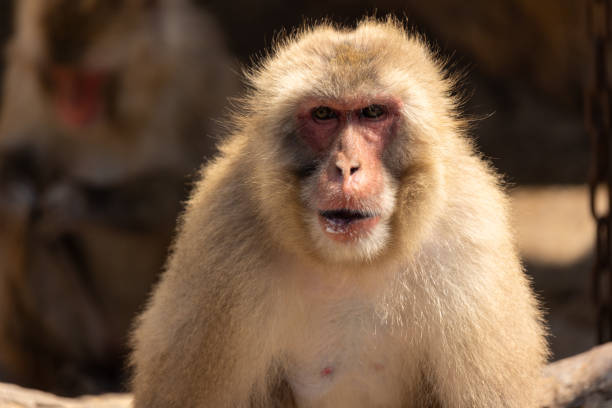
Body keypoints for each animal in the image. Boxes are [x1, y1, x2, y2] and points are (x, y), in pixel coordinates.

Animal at [0, 0, 234, 396]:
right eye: (59, 78)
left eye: (86, 82)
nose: (70, 107)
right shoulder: (26, 83)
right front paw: (16, 192)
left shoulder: (196, 71)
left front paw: (82, 202)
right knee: (22, 230)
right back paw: (79, 370)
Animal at [131, 19, 548, 408]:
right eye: (323, 114)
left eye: (373, 112)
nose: (347, 168)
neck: (353, 263)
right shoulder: (220, 244)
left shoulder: (471, 243)